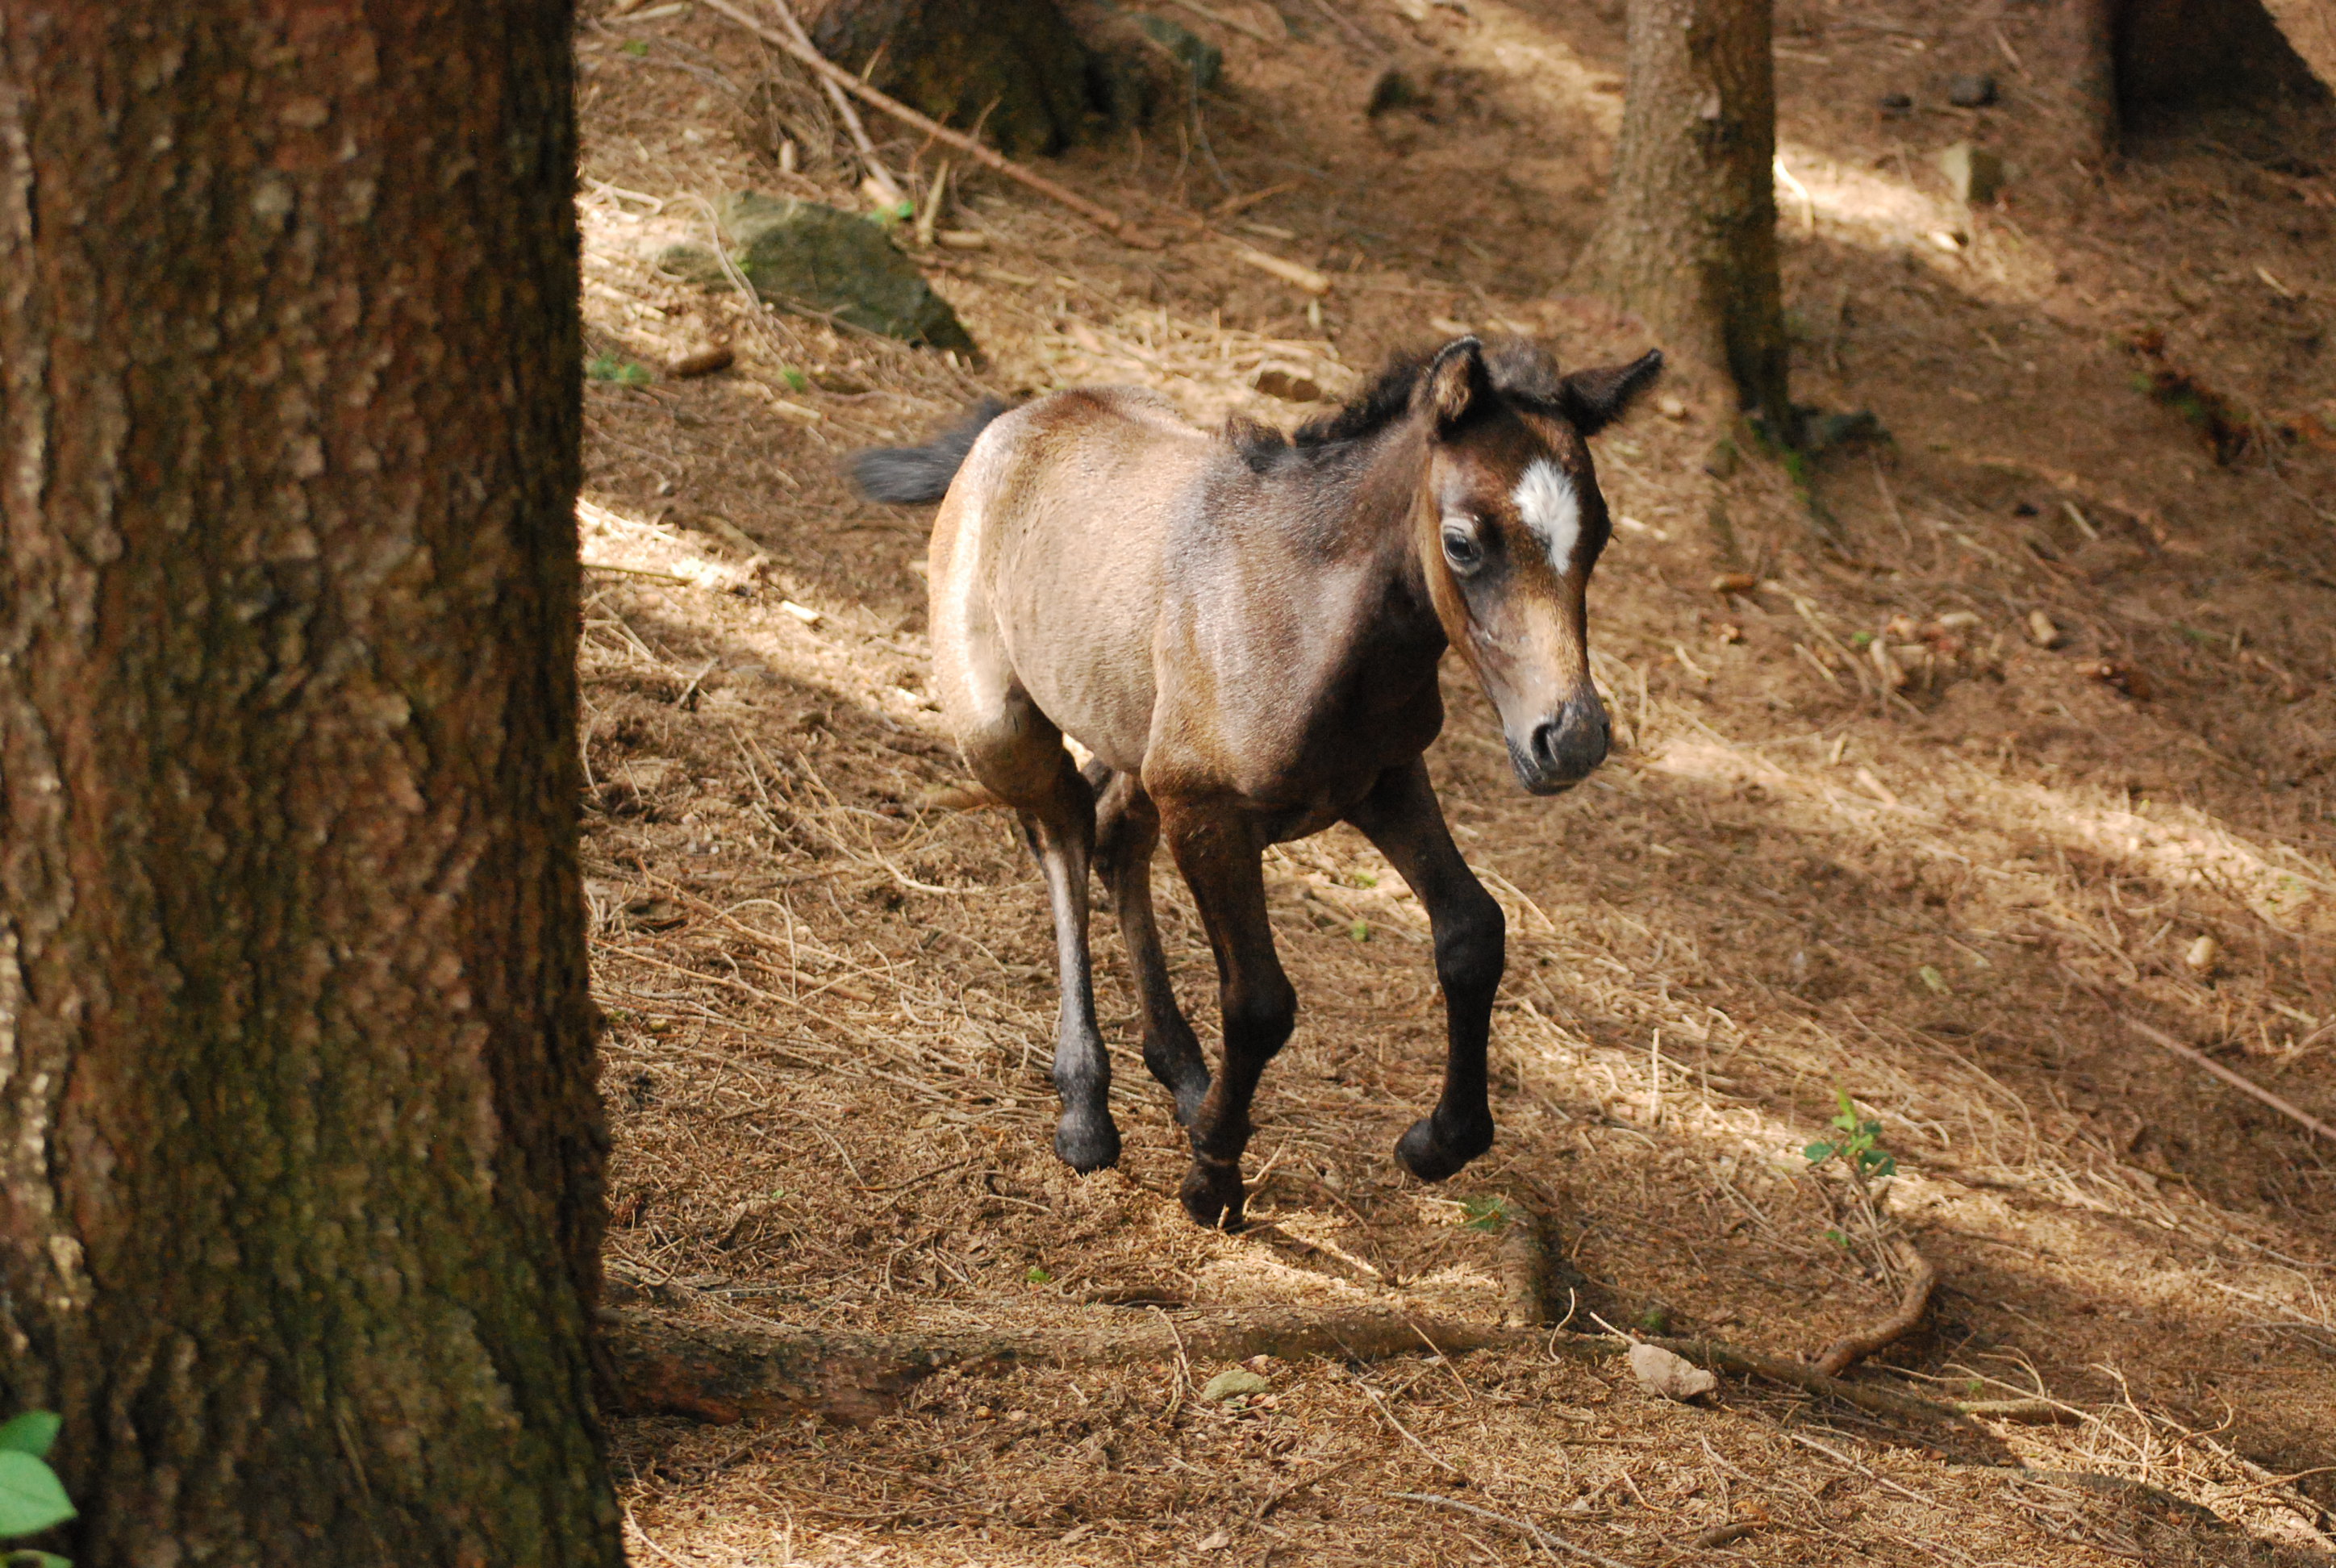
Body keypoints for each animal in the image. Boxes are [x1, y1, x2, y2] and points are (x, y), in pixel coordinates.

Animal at [859, 340, 1662, 1224]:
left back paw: (1183, 1073)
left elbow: (1472, 933)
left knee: (1113, 834)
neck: (1306, 618)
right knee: (1065, 835)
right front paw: (1213, 1176)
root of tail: (1012, 423)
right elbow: (1259, 1001)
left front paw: (1438, 1142)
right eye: (1461, 543)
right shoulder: (1207, 810)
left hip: (1137, 739)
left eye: (1600, 535)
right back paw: (1086, 1107)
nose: (1572, 739)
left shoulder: (1382, 778)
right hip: (1001, 726)